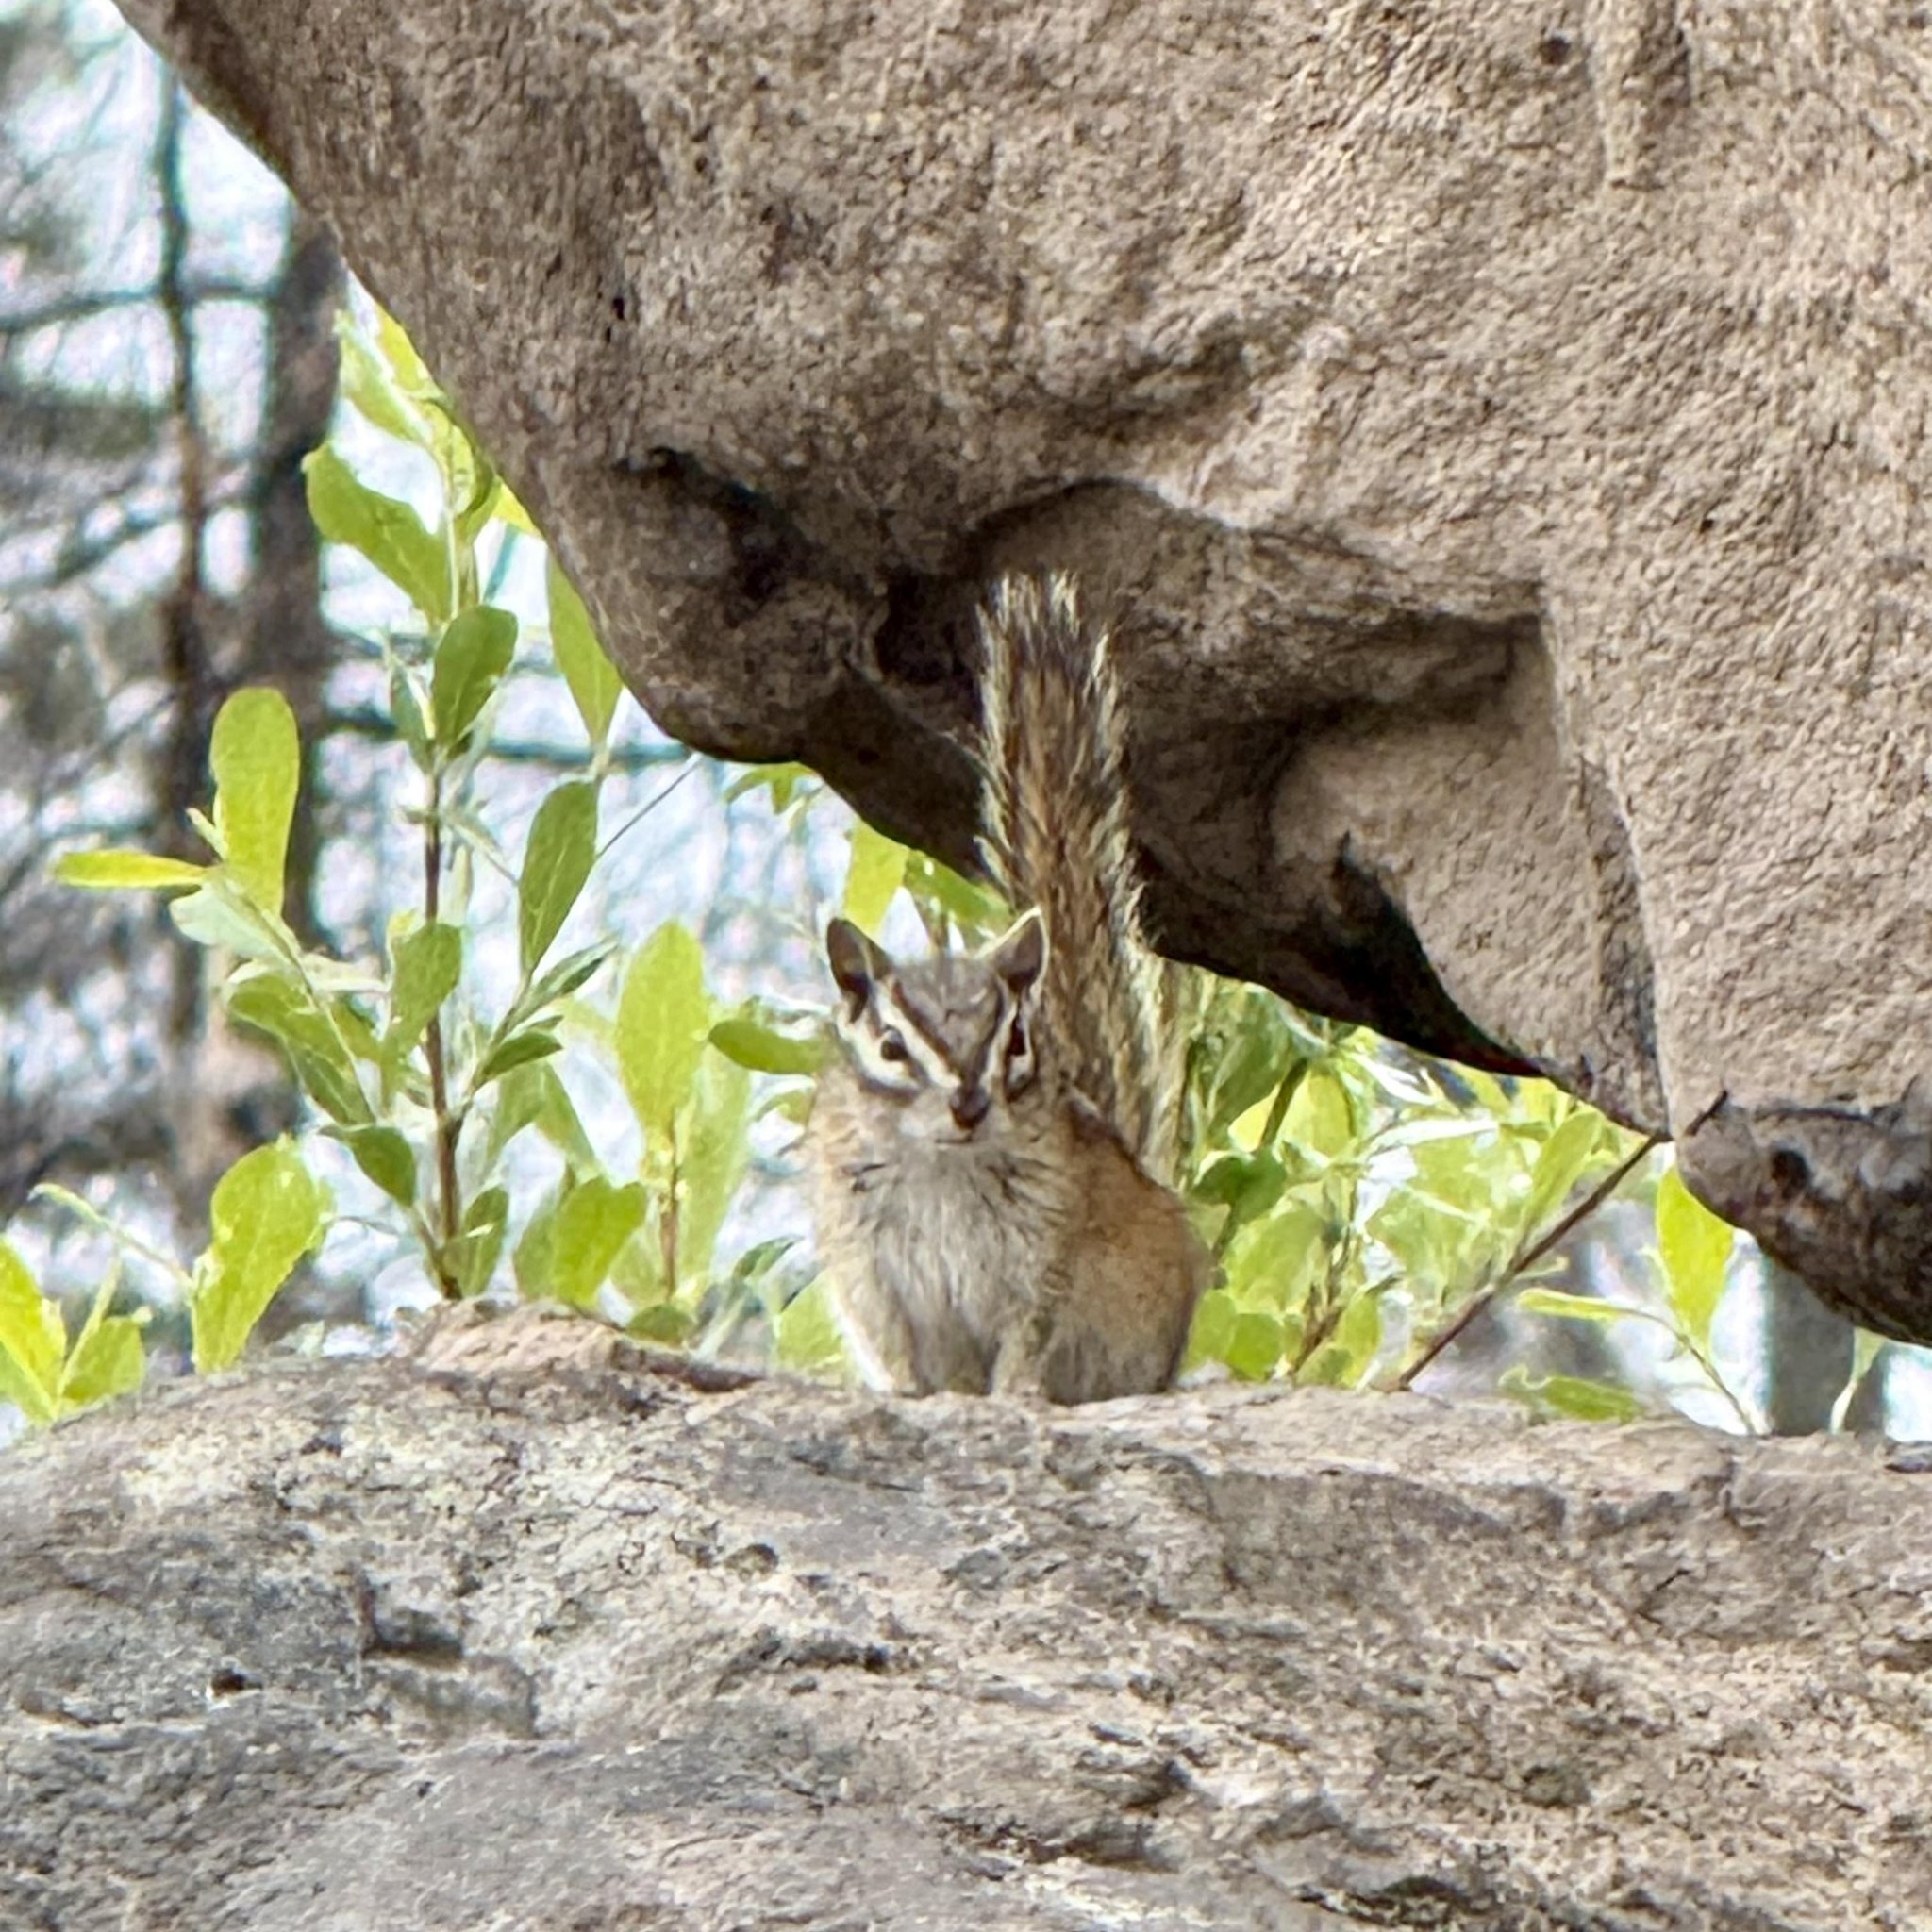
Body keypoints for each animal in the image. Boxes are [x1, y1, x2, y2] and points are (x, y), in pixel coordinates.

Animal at [805, 572, 1208, 1402]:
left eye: (1016, 1040)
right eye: (890, 1047)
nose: (969, 1103)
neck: (944, 1161)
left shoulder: (1044, 1262)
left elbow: (1030, 1342)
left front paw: (1017, 1397)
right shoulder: (870, 1273)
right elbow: (900, 1352)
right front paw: (905, 1394)